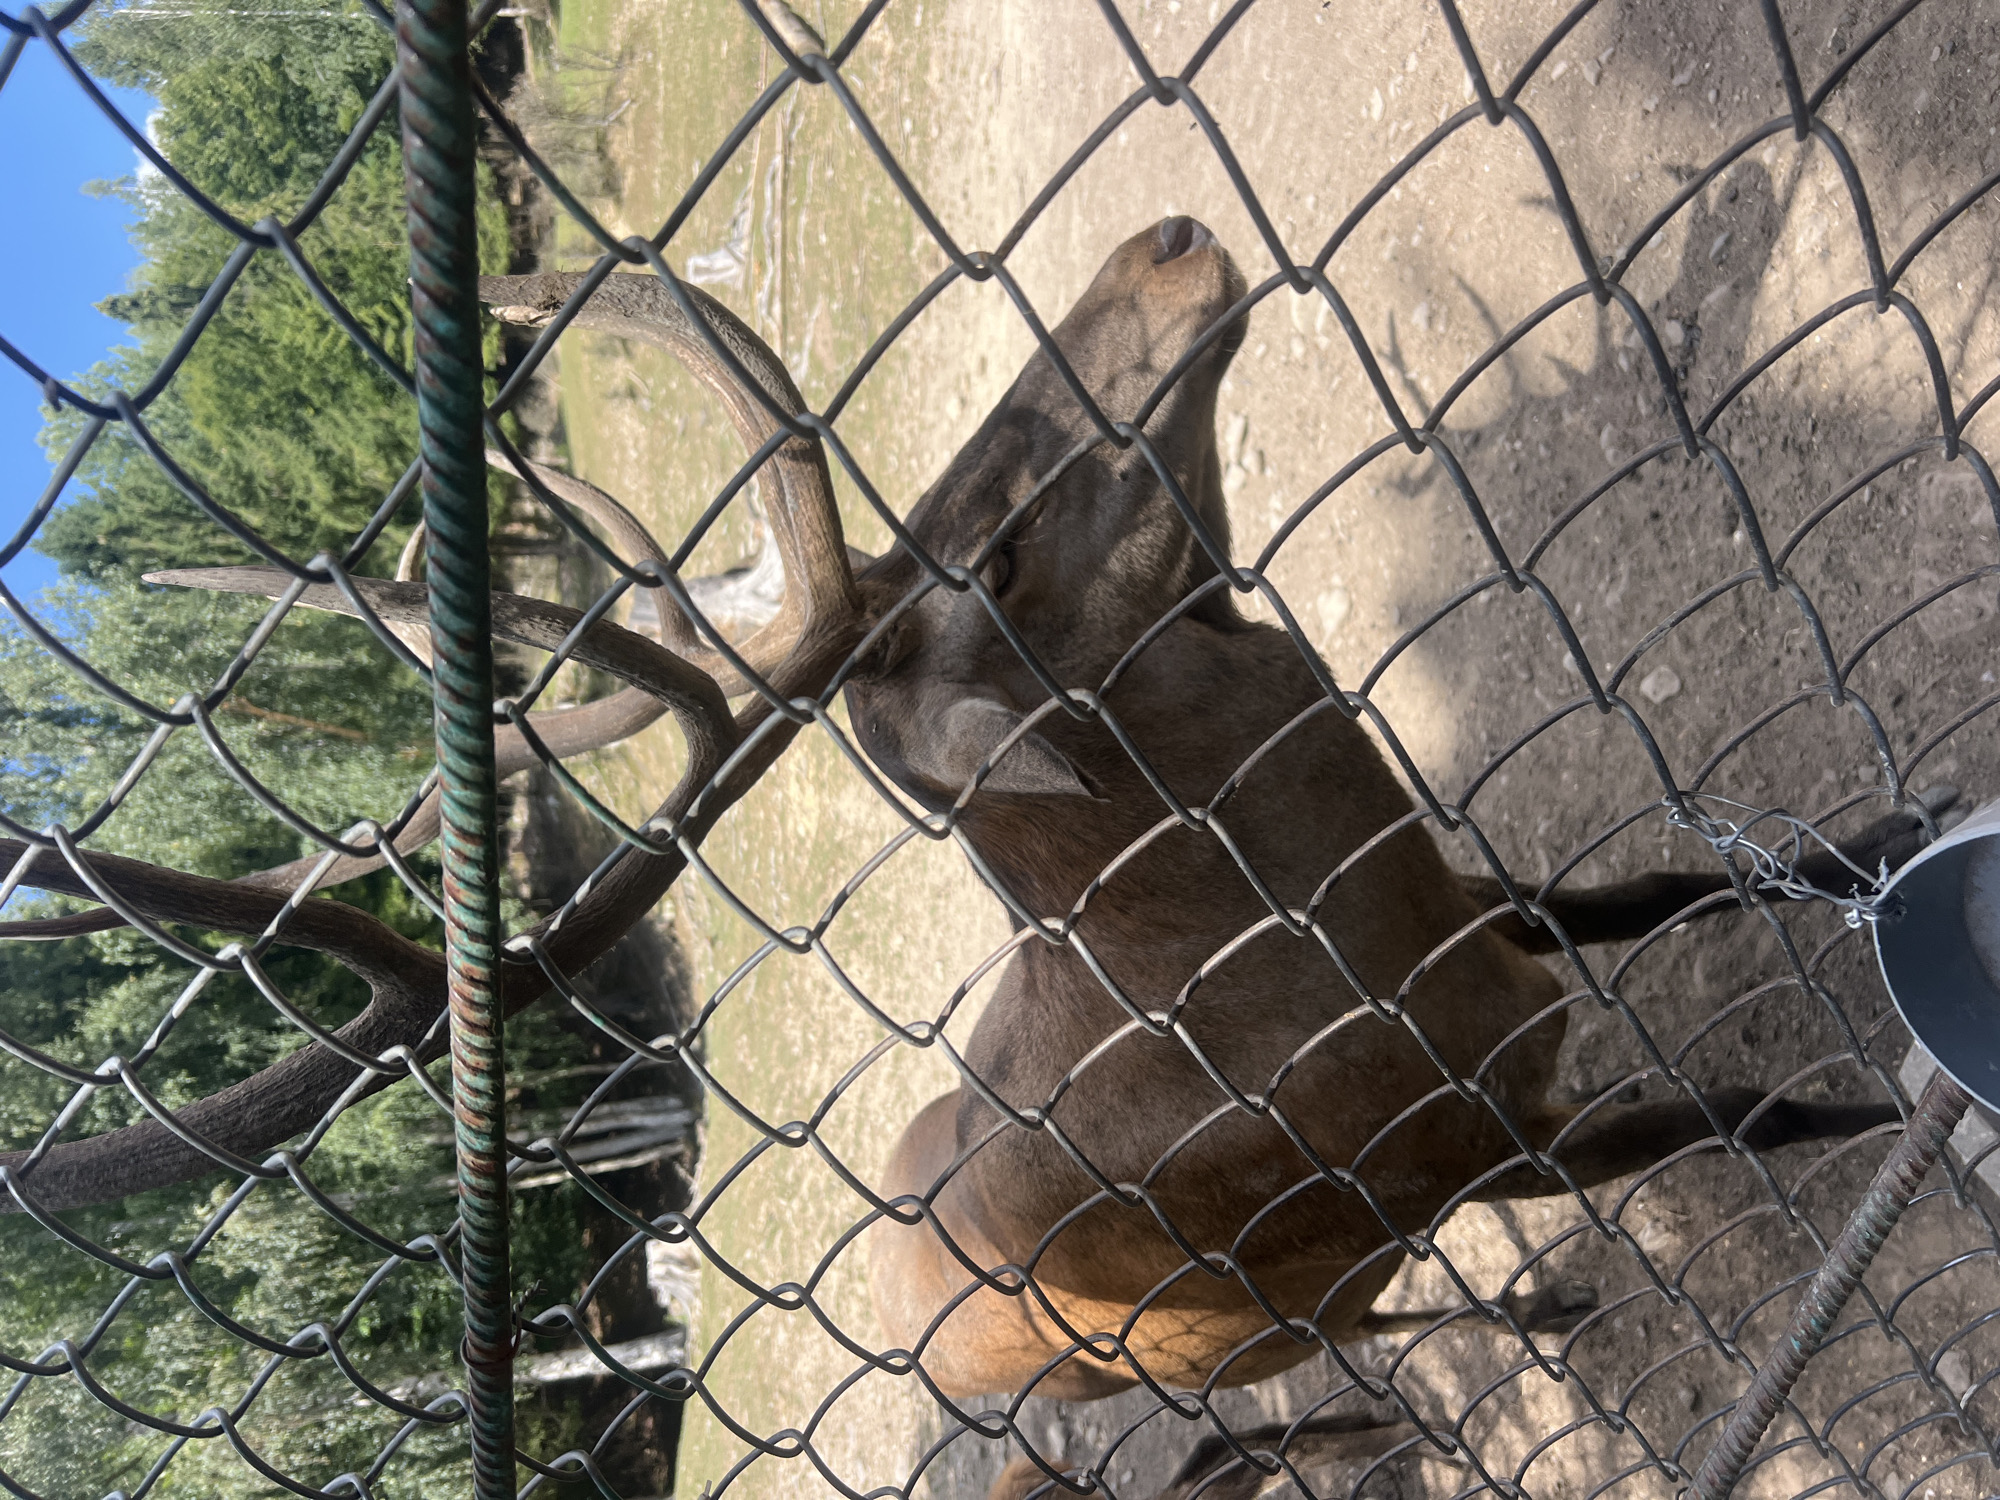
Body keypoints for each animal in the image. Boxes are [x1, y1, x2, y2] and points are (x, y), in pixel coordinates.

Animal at [0, 213, 1948, 1490]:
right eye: (998, 550)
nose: (1167, 239)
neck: (1345, 955)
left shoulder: (1479, 914)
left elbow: (1656, 882)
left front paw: (1893, 840)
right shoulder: (1475, 1137)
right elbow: (1744, 1116)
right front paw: (1895, 1116)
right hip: (1229, 1325)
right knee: (1312, 1356)